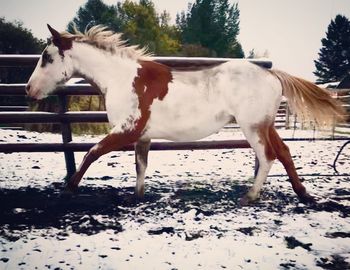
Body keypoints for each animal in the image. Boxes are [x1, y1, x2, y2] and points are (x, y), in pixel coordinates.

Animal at [26, 24, 344, 205]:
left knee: (267, 158)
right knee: (285, 152)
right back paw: (303, 193)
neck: (122, 78)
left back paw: (250, 196)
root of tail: (272, 74)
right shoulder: (142, 137)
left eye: (47, 57)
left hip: (252, 127)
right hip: (267, 125)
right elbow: (140, 166)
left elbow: (91, 153)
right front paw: (137, 197)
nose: (29, 89)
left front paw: (69, 189)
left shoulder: (126, 131)